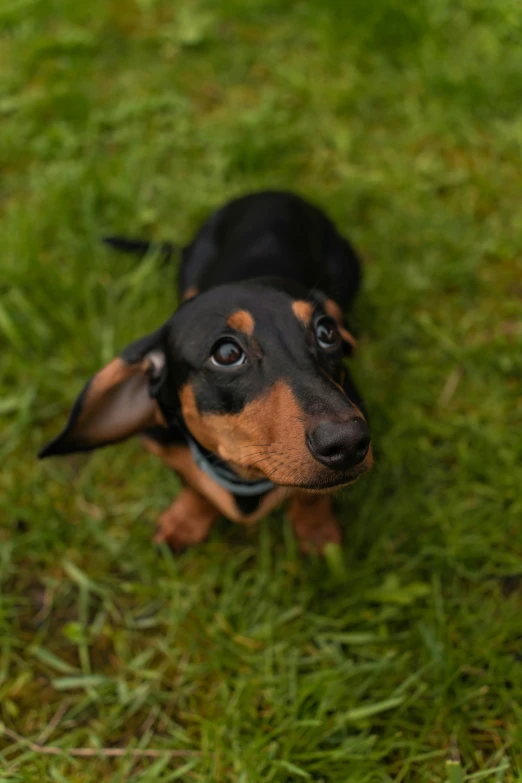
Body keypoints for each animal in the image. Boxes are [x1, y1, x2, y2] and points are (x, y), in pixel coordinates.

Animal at [38, 192, 372, 556]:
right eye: (226, 354)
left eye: (326, 332)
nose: (348, 441)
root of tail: (271, 193)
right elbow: (196, 485)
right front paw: (186, 521)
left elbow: (312, 496)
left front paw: (316, 531)